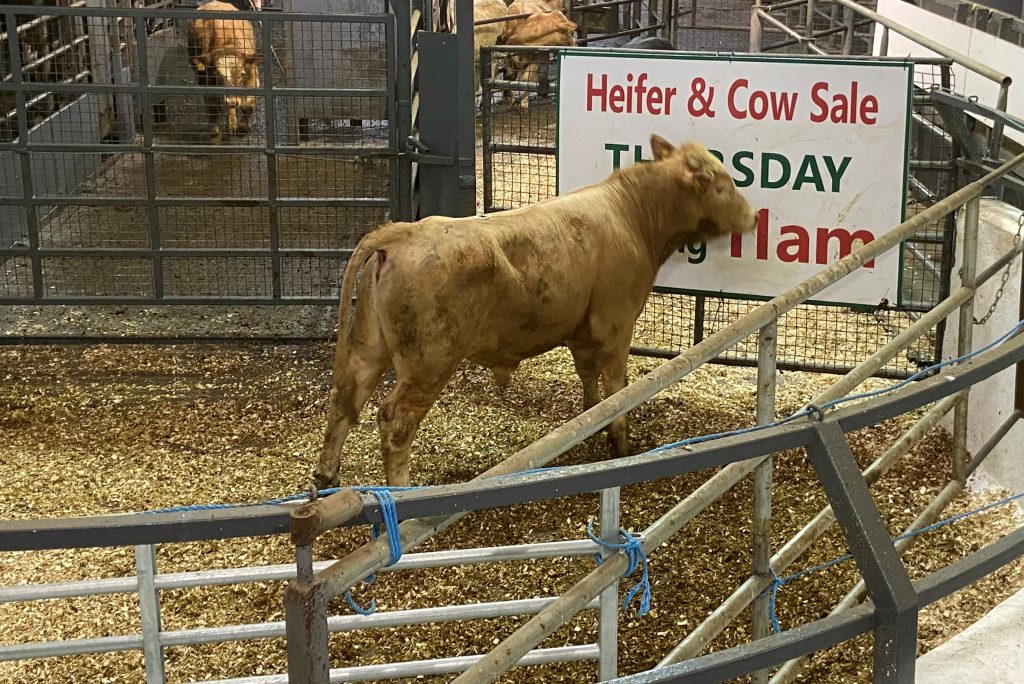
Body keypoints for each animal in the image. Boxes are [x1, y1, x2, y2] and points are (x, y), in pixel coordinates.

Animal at [185, 0, 262, 144]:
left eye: (242, 73)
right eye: (216, 74)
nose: (231, 100)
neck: (228, 44)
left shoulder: (252, 74)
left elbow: (248, 106)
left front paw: (241, 130)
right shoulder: (206, 79)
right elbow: (213, 108)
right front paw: (215, 137)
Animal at [314, 136, 758, 488]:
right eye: (722, 185)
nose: (754, 217)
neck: (632, 216)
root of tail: (403, 231)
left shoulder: (582, 330)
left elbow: (588, 378)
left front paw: (589, 423)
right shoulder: (617, 324)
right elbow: (617, 386)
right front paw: (619, 441)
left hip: (369, 346)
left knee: (346, 399)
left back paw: (325, 476)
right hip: (429, 362)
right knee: (394, 422)